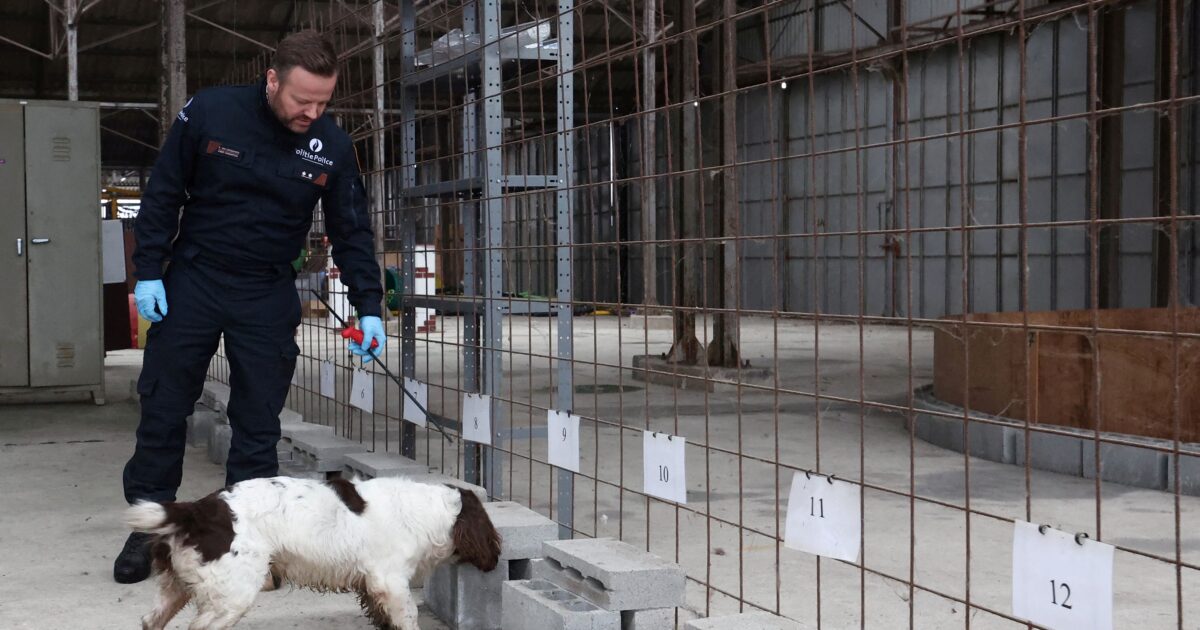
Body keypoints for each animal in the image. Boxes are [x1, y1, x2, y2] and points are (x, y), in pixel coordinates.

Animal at [121, 477, 496, 628]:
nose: (494, 559)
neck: (430, 510)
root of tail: (196, 510)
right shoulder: (390, 582)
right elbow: (409, 619)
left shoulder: (373, 588)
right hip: (232, 595)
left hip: (176, 588)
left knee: (150, 621)